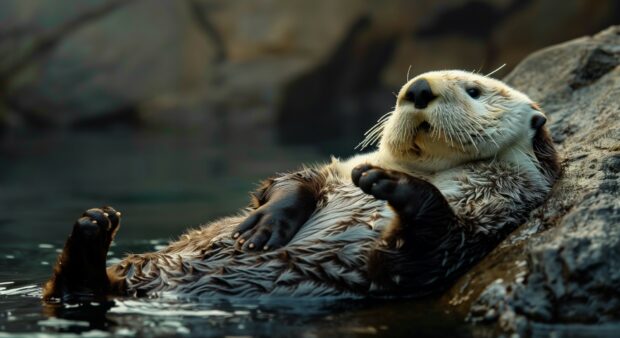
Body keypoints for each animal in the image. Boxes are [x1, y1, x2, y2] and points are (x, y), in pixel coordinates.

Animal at [41, 70, 560, 302]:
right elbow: (291, 181)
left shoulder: (486, 220)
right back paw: (95, 223)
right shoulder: (336, 168)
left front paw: (391, 184)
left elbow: (421, 254)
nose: (417, 89)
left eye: (475, 90)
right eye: (405, 90)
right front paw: (264, 227)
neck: (434, 170)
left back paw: (93, 233)